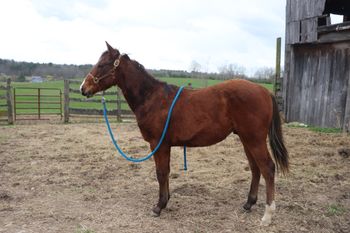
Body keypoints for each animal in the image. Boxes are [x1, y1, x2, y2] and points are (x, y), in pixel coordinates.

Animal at [80, 41, 288, 226]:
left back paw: (267, 215)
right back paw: (248, 204)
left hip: (255, 140)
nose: (83, 88)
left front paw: (159, 206)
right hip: (246, 140)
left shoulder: (158, 144)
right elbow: (165, 172)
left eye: (102, 64)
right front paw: (165, 201)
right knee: (255, 169)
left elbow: (161, 173)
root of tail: (264, 91)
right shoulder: (164, 145)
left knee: (268, 168)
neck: (152, 98)